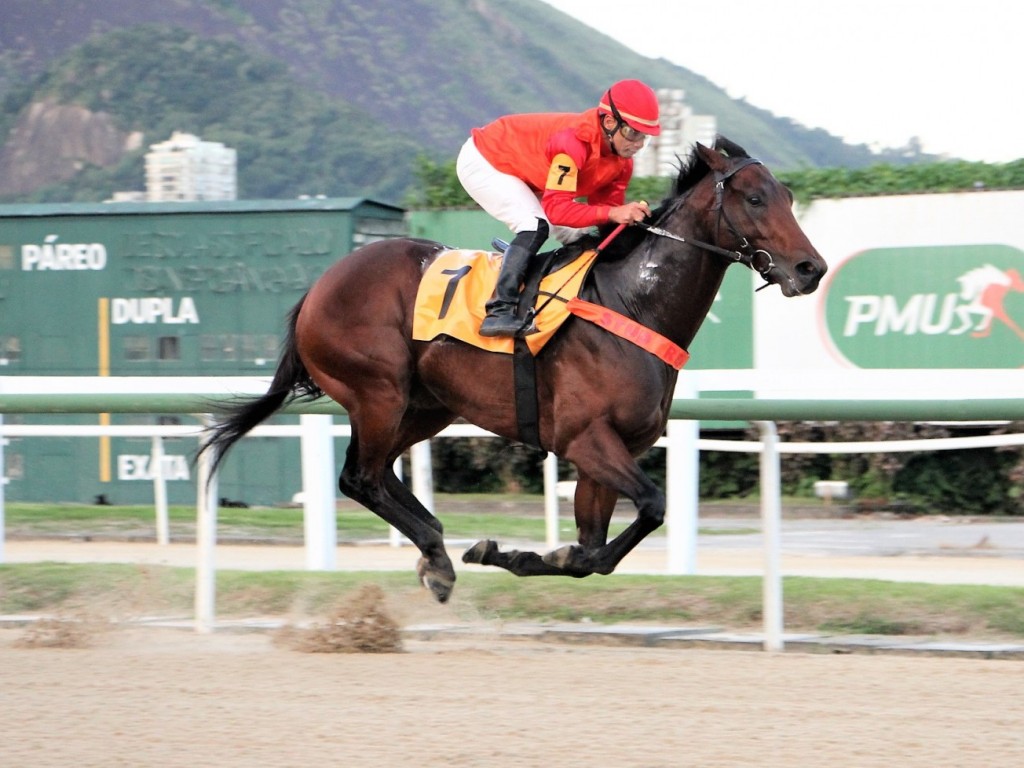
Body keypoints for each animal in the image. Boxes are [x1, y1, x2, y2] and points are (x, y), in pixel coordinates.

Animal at [199, 140, 823, 606]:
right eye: (754, 197)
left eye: (789, 196)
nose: (809, 268)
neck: (631, 302)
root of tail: (318, 288)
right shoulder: (585, 439)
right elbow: (652, 505)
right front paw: (516, 553)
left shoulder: (608, 452)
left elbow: (594, 553)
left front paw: (528, 554)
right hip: (379, 393)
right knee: (360, 477)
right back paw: (438, 555)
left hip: (426, 406)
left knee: (376, 475)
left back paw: (436, 549)